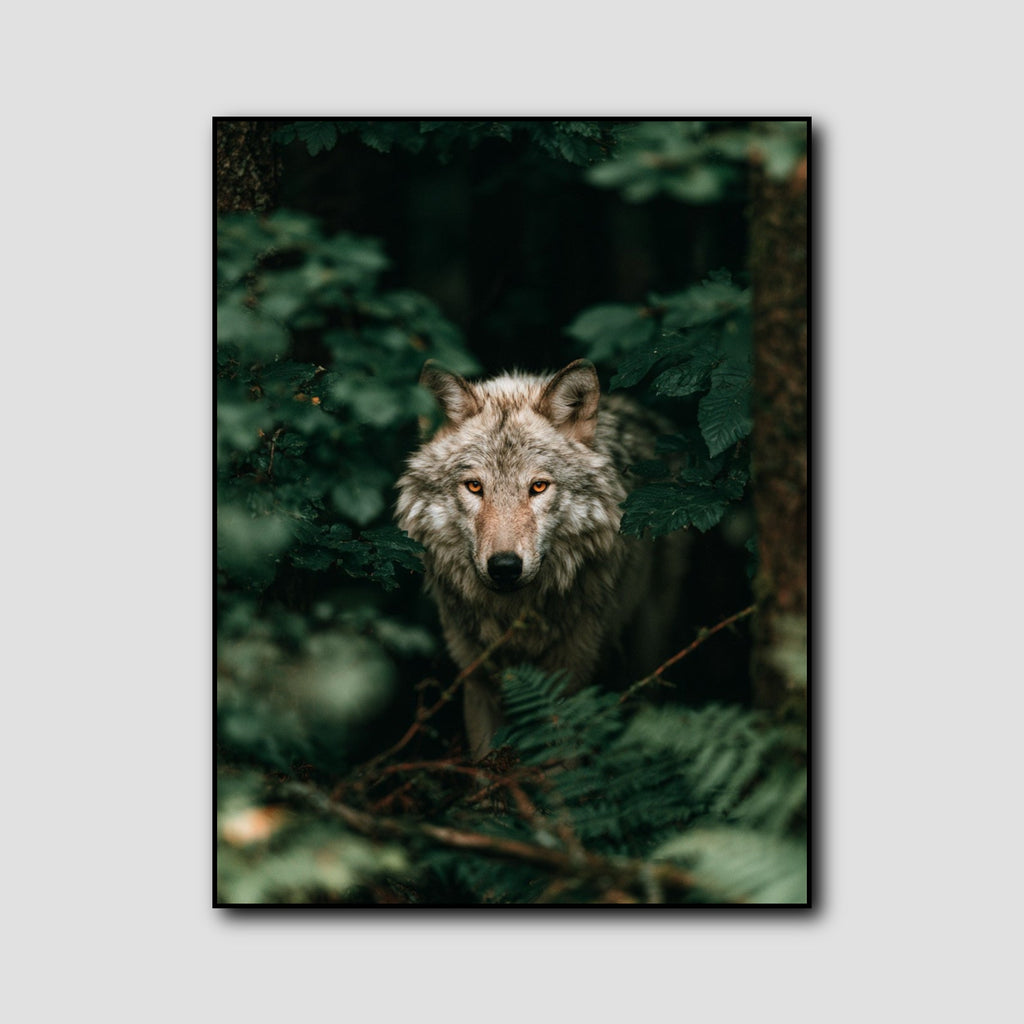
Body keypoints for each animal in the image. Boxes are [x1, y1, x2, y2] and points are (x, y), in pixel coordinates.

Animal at [395, 359, 685, 759]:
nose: (504, 567)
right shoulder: (478, 681)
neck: (515, 618)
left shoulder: (568, 681)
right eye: (474, 487)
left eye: (538, 487)